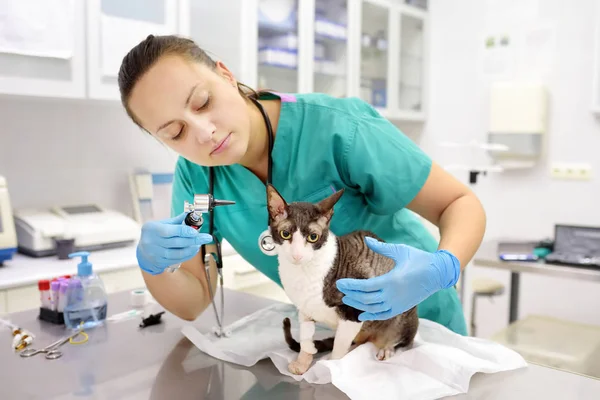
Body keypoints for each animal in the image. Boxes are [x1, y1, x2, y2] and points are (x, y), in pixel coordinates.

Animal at [268, 183, 418, 376]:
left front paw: (329, 369)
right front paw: (302, 363)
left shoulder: (354, 312)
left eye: (313, 237)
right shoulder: (304, 310)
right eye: (285, 234)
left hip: (402, 311)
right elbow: (306, 339)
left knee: (405, 341)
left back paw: (387, 348)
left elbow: (338, 349)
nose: (297, 255)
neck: (302, 272)